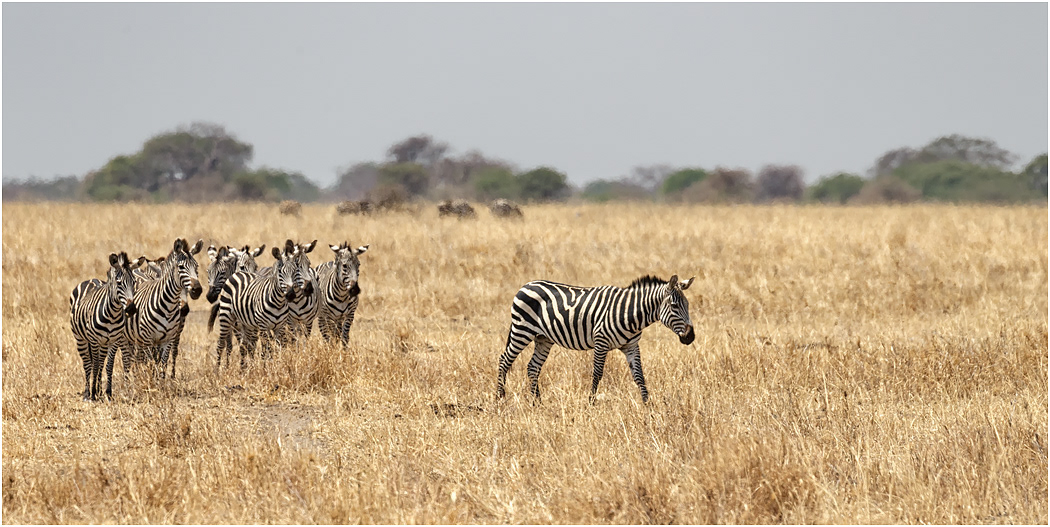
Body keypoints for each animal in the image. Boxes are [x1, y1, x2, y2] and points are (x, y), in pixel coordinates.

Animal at [69, 252, 144, 400]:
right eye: (119, 283)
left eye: (134, 282)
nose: (131, 309)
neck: (112, 315)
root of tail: (90, 279)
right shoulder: (94, 340)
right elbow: (95, 365)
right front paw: (92, 393)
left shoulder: (114, 341)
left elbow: (108, 366)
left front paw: (108, 393)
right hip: (81, 339)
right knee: (88, 364)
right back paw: (88, 393)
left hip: (103, 343)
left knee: (100, 362)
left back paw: (98, 391)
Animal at [122, 238, 203, 380]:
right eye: (181, 267)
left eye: (197, 267)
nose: (197, 290)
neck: (169, 309)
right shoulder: (148, 339)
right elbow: (151, 362)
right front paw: (151, 380)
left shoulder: (169, 338)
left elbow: (163, 362)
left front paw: (164, 379)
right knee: (130, 358)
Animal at [496, 274, 696, 403]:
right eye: (674, 305)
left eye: (687, 304)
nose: (691, 337)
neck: (629, 313)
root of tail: (526, 285)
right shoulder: (601, 342)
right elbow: (598, 373)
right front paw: (591, 403)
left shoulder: (631, 346)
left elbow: (639, 375)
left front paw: (648, 405)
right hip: (522, 330)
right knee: (504, 360)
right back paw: (500, 398)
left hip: (543, 338)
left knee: (533, 367)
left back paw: (537, 402)